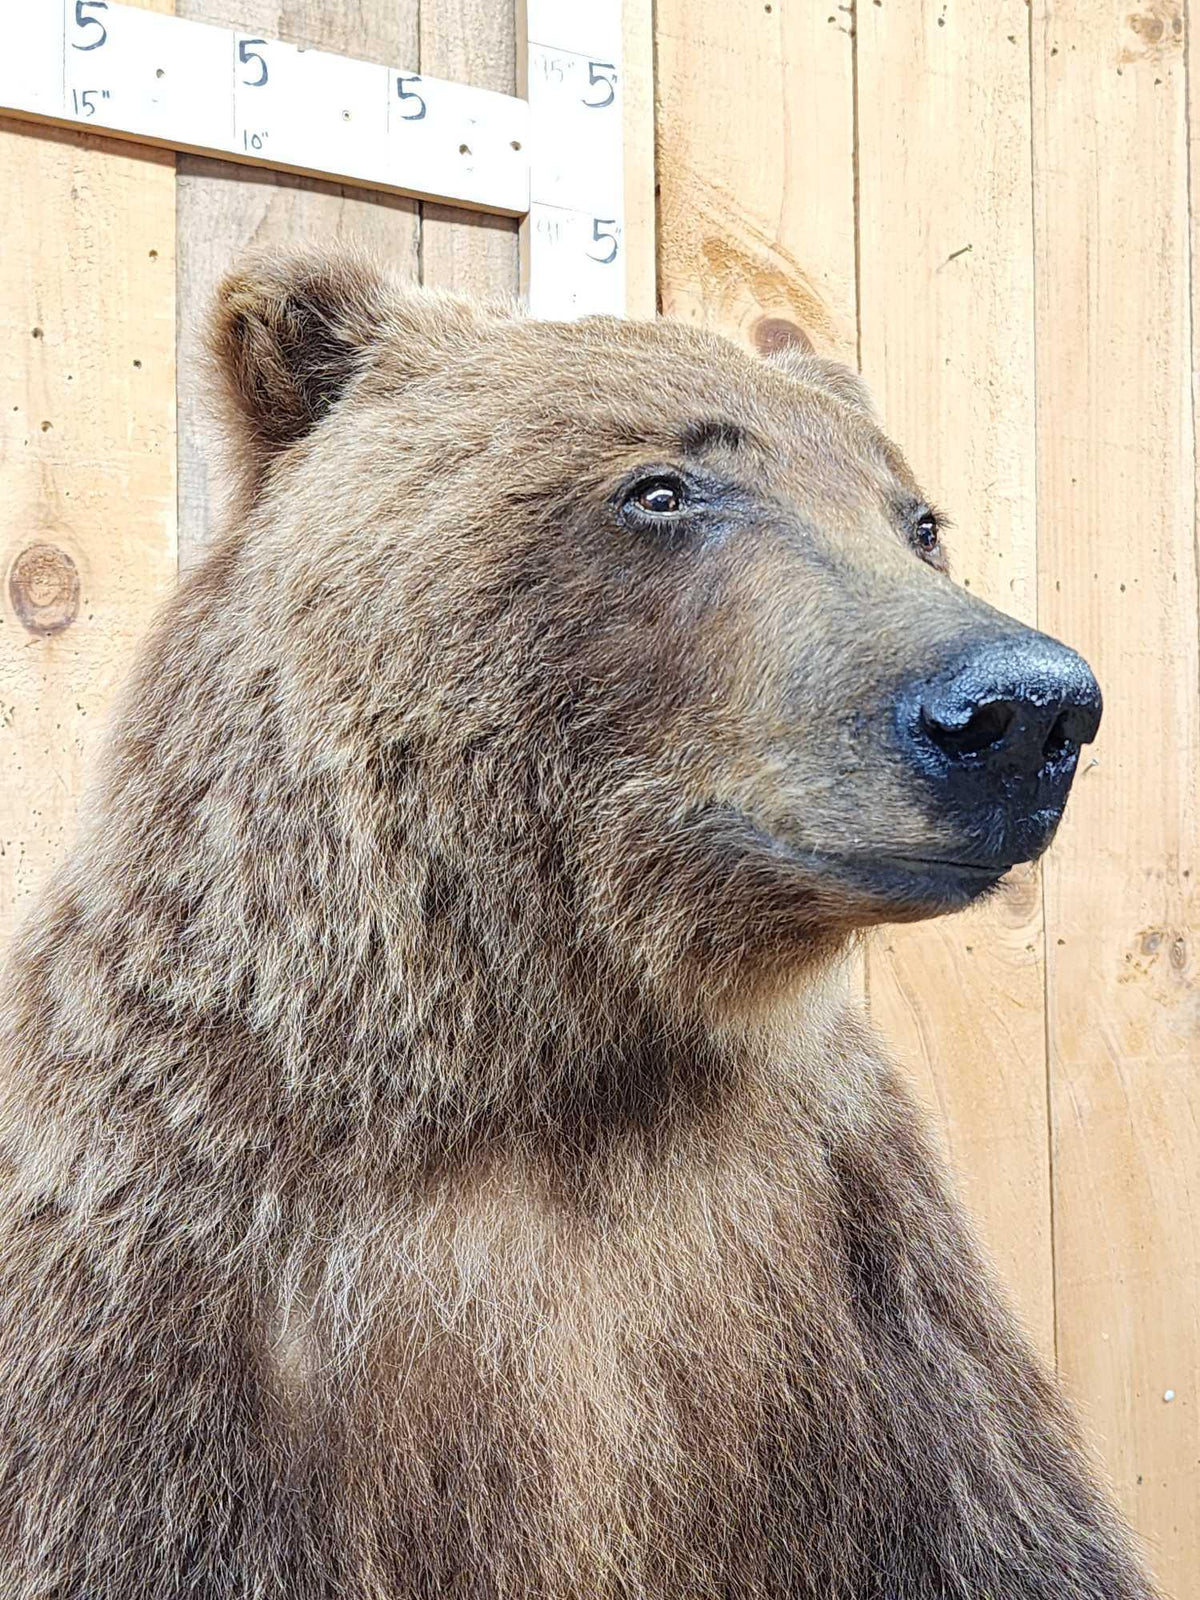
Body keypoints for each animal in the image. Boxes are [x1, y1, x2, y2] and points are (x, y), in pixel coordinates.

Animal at [0, 250, 1159, 1599]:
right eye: (663, 488)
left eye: (917, 519)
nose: (1023, 707)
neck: (558, 1063)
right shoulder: (160, 1292)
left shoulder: (865, 1298)